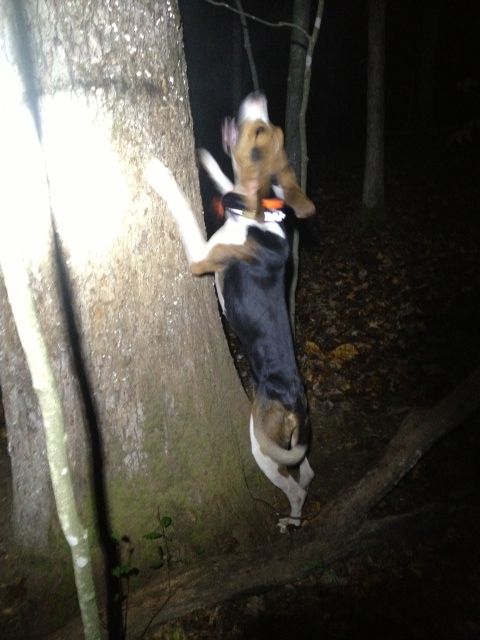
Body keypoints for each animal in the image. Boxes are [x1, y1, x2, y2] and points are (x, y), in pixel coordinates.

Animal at [145, 92, 315, 531]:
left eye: (258, 132)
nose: (257, 95)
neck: (262, 215)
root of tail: (294, 403)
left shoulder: (201, 259)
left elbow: (186, 209)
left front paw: (161, 174)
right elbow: (225, 182)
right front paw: (206, 157)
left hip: (262, 445)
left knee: (296, 486)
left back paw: (290, 521)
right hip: (297, 443)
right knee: (308, 471)